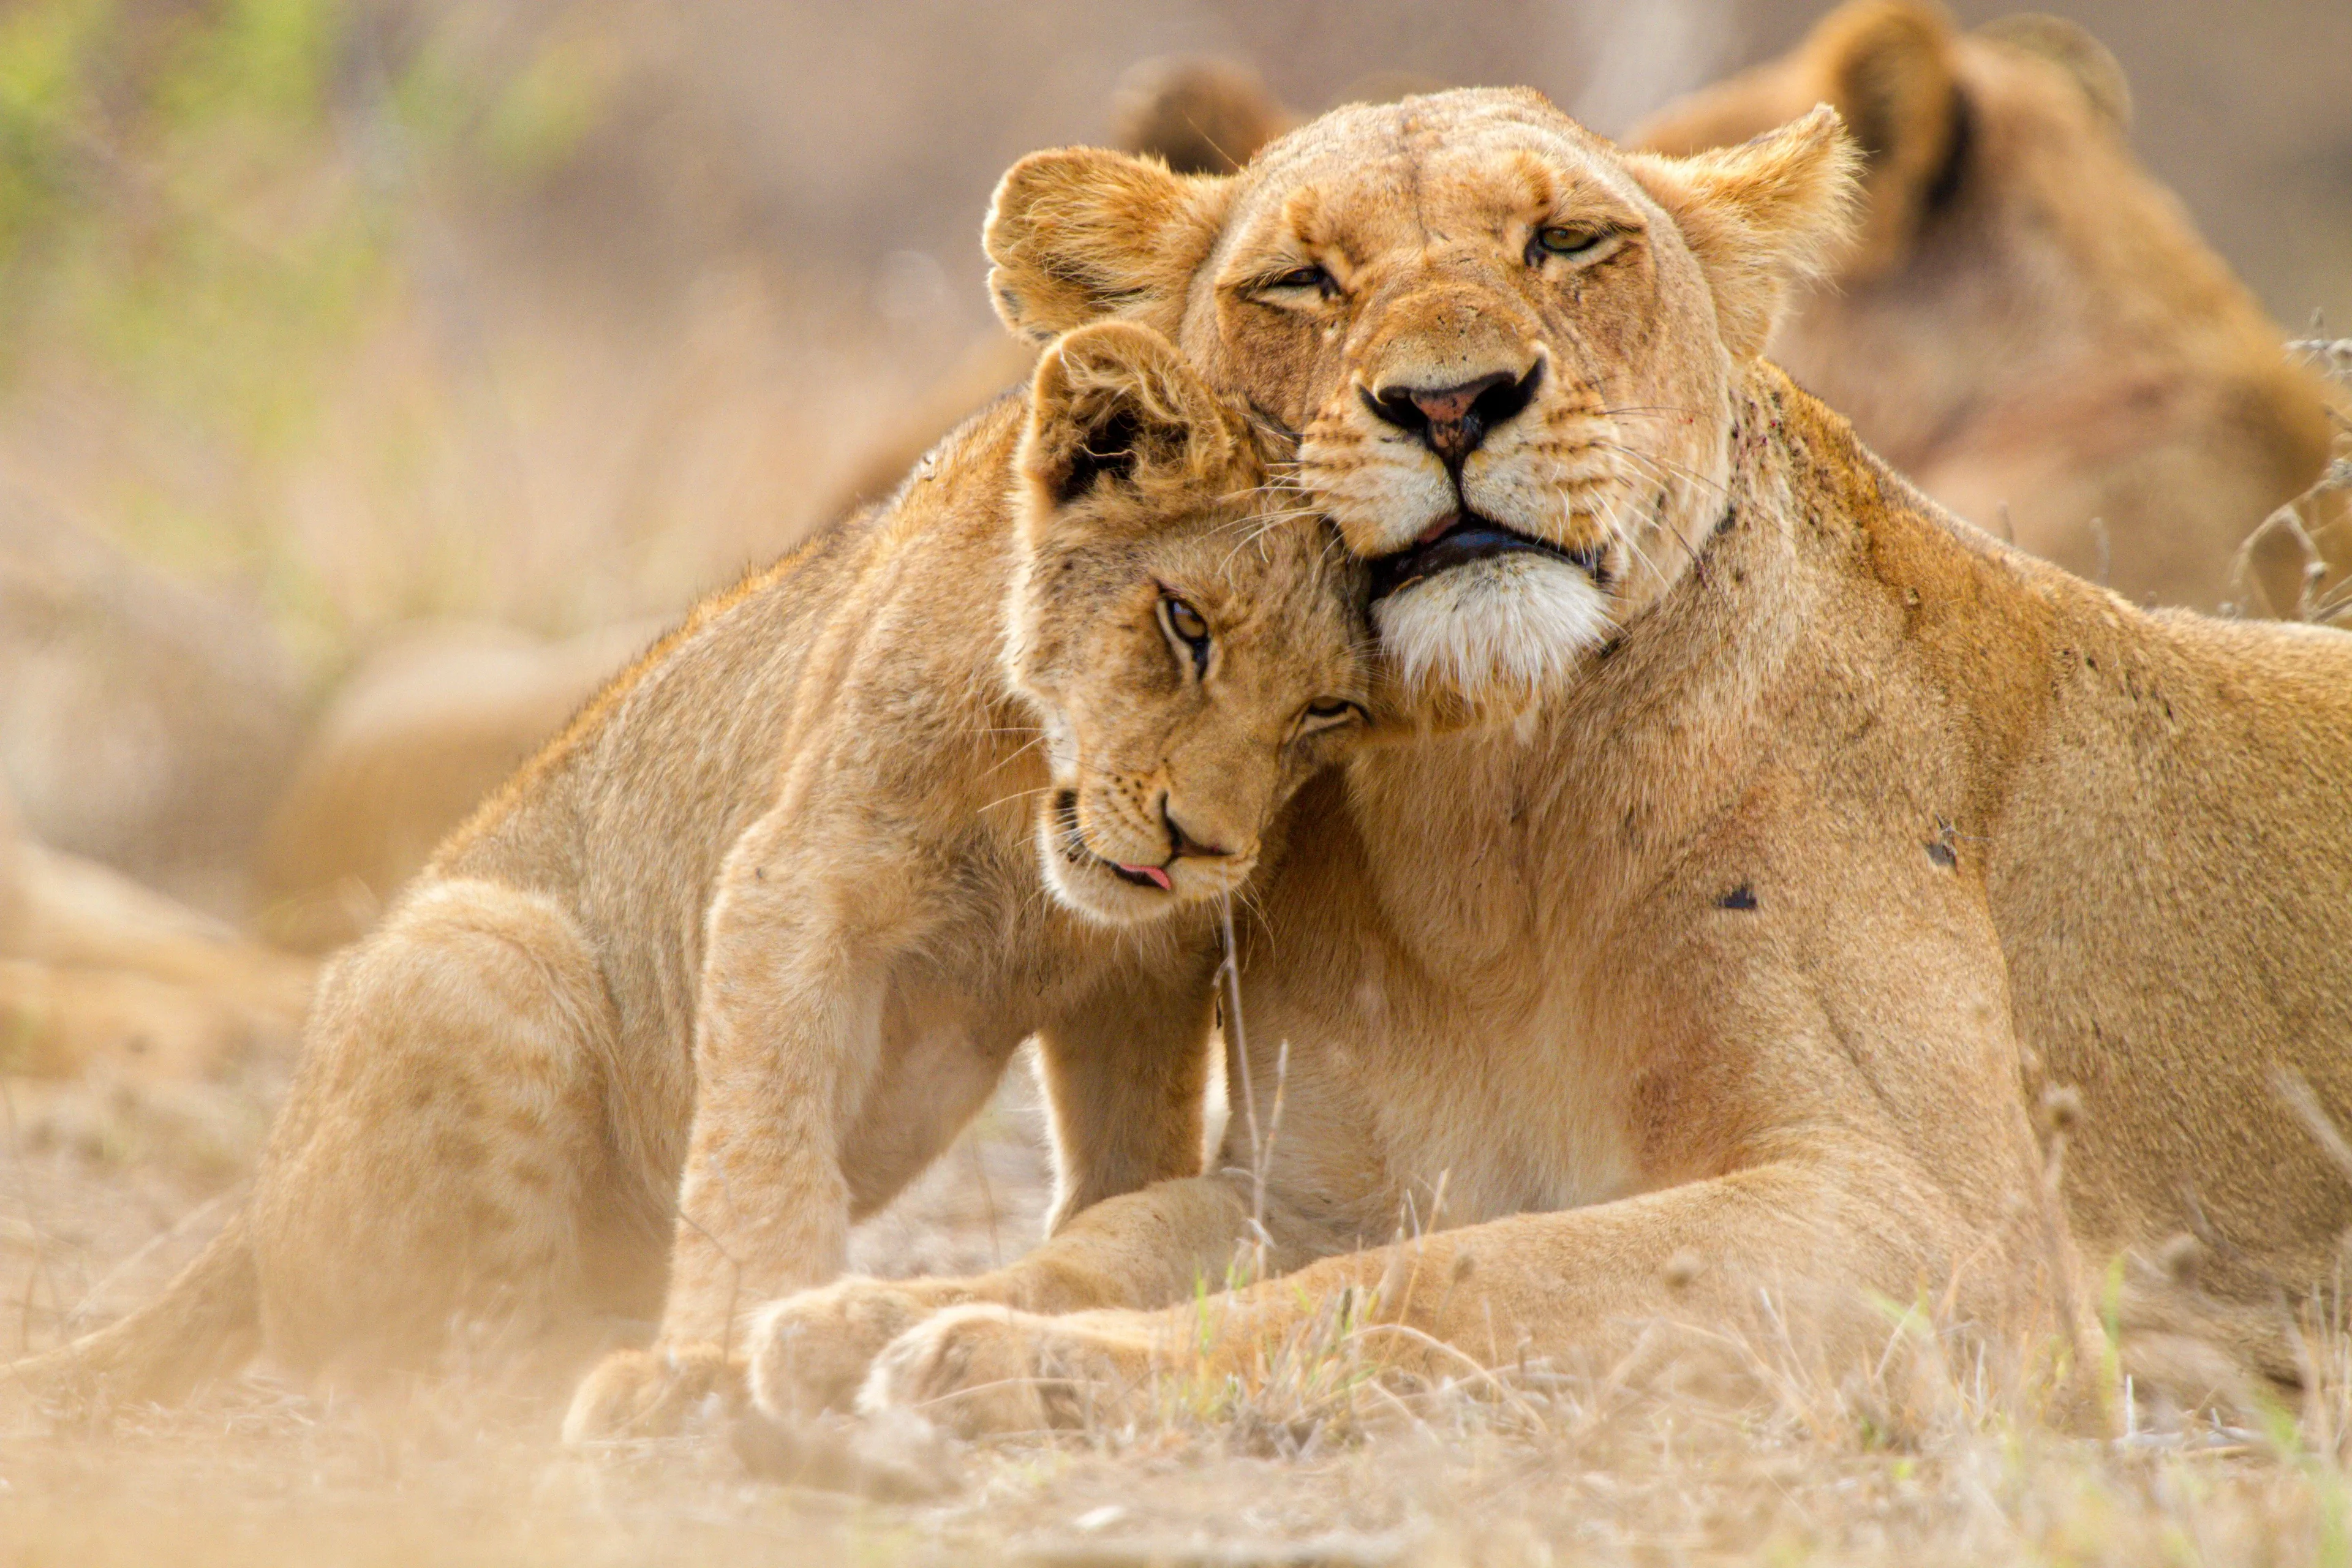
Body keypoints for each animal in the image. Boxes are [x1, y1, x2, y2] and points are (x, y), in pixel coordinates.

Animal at [13, 320, 1373, 1419]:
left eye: (1330, 709)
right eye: (1185, 625)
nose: (1202, 846)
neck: (1027, 820)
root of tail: (244, 1217)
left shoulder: (1142, 976)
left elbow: (1127, 1167)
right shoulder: (792, 883)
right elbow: (764, 1154)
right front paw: (730, 1346)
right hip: (483, 947)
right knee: (438, 1368)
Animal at [730, 89, 2352, 1440]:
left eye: (1568, 241)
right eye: (1302, 281)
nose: (1451, 401)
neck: (1479, 821)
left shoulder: (1945, 1233)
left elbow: (1448, 1278)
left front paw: (1002, 1362)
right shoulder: (1311, 1186)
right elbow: (1110, 1238)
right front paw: (854, 1316)